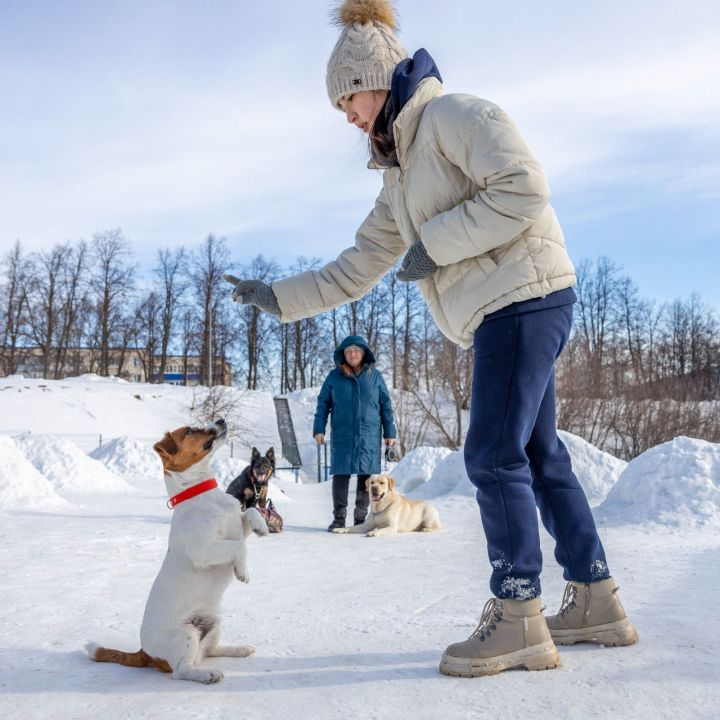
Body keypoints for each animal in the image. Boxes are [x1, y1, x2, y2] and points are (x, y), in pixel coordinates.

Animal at [86, 420, 268, 684]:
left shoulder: (236, 526)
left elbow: (250, 513)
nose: (221, 421)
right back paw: (207, 674)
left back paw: (240, 648)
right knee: (182, 670)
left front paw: (262, 525)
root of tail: (145, 653)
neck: (201, 495)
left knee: (211, 650)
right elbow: (238, 547)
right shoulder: (205, 550)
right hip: (187, 633)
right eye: (190, 431)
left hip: (214, 623)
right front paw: (242, 571)